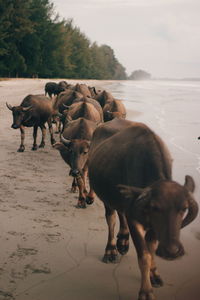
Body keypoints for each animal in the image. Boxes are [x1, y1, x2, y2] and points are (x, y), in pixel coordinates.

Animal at [88, 118, 198, 300]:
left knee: (120, 213)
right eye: (155, 207)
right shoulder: (135, 220)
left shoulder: (152, 225)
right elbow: (144, 255)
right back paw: (111, 250)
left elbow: (151, 248)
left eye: (184, 208)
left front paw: (154, 274)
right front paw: (146, 291)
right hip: (107, 199)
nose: (172, 251)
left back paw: (123, 240)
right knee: (111, 219)